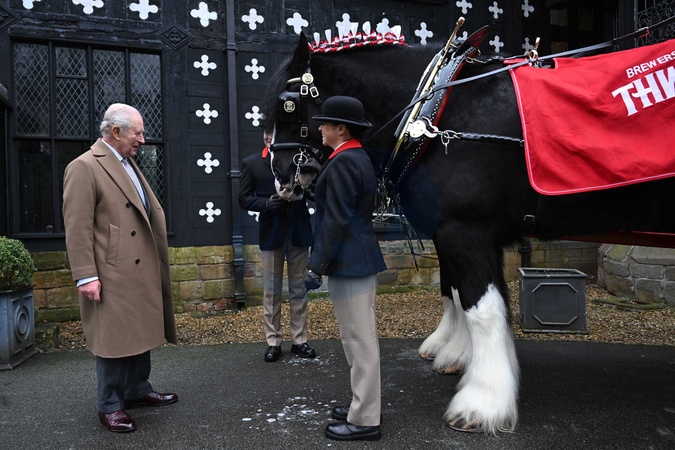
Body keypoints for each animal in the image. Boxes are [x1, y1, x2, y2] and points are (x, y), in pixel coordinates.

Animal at [262, 31, 675, 434]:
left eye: (287, 106)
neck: (442, 106)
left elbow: (482, 308)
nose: (280, 179)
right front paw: (458, 354)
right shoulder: (456, 233)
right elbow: (457, 292)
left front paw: (483, 400)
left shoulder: (465, 230)